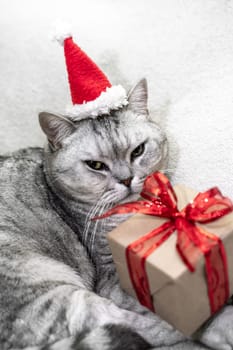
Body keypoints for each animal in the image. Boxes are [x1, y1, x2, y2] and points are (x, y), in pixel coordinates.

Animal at [0, 78, 203, 350]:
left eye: (138, 151)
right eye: (95, 166)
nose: (126, 179)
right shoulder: (111, 275)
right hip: (54, 290)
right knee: (134, 325)